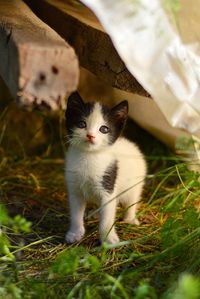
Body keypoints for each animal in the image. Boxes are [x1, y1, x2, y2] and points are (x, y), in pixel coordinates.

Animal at [64, 92, 147, 245]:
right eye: (81, 124)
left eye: (104, 129)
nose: (90, 135)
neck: (89, 156)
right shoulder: (75, 189)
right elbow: (76, 213)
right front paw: (75, 233)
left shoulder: (108, 186)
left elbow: (107, 217)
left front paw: (108, 238)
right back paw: (95, 213)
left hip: (135, 184)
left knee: (132, 200)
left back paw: (130, 218)